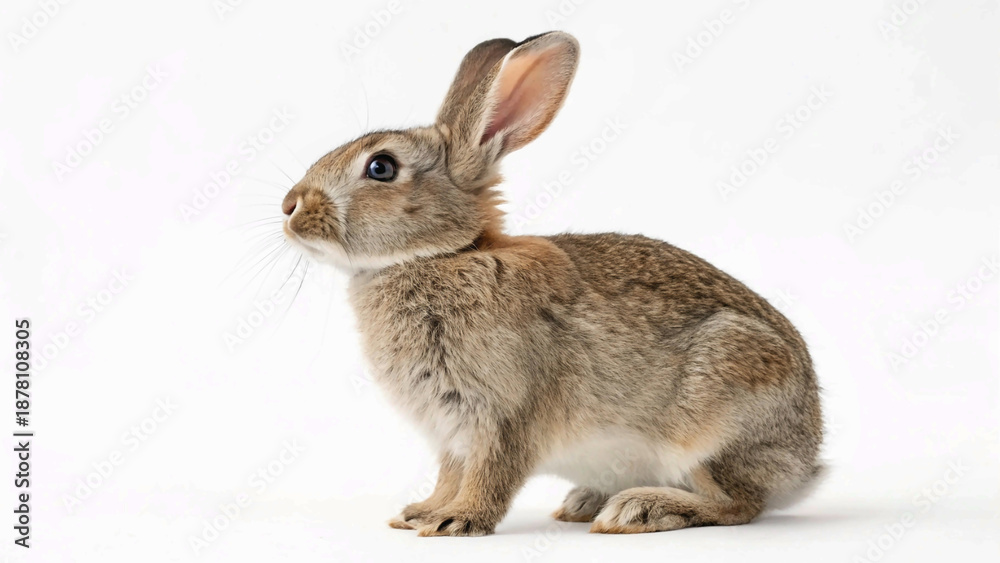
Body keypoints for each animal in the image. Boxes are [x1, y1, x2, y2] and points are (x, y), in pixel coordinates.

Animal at [280, 31, 824, 536]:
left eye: (381, 167)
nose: (289, 206)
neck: (445, 254)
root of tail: (806, 462)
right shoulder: (451, 429)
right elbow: (450, 473)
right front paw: (421, 512)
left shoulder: (505, 412)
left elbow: (490, 473)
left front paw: (457, 520)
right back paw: (586, 502)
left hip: (719, 416)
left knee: (738, 504)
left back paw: (640, 508)